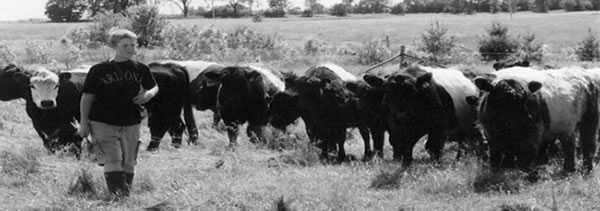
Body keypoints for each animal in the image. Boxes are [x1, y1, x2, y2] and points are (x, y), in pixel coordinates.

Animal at [468, 66, 600, 175]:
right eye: (499, 98)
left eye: (523, 99)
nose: (524, 117)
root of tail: (584, 74)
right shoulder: (491, 134)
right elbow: (497, 156)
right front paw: (499, 172)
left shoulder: (532, 134)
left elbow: (526, 155)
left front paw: (528, 175)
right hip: (566, 128)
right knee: (569, 146)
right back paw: (569, 169)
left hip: (589, 121)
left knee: (588, 145)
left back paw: (586, 169)